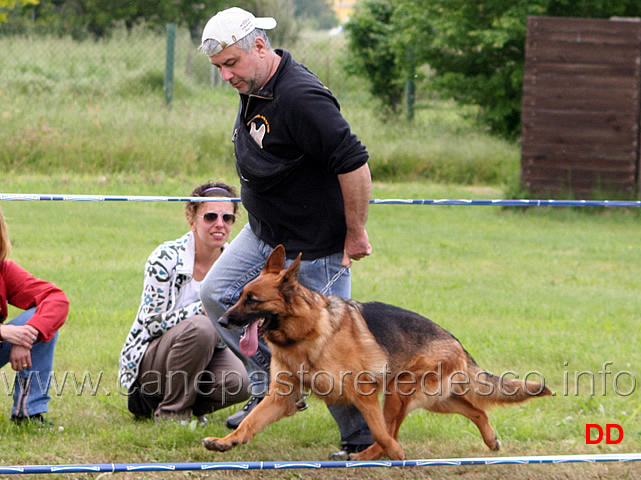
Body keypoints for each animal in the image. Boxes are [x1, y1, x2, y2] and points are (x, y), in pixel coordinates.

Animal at [204, 246, 552, 460]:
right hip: (433, 399)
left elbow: (380, 432)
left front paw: (396, 453)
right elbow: (251, 423)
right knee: (478, 411)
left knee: (390, 430)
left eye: (253, 300)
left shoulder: (364, 393)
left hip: (400, 393)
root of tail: (455, 341)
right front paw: (226, 442)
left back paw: (379, 455)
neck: (306, 333)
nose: (221, 321)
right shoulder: (281, 397)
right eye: (240, 296)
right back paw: (490, 440)